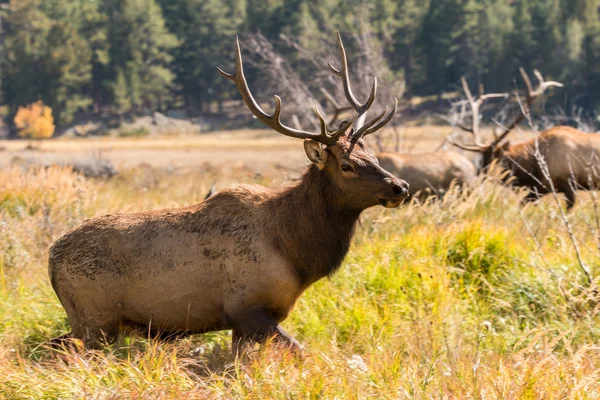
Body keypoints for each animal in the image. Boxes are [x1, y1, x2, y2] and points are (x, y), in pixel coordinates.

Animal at [49, 33, 410, 354]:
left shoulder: (244, 323)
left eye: (373, 156)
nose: (400, 186)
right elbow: (302, 352)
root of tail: (51, 258)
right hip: (95, 318)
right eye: (347, 165)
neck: (295, 255)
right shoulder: (246, 307)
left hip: (91, 322)